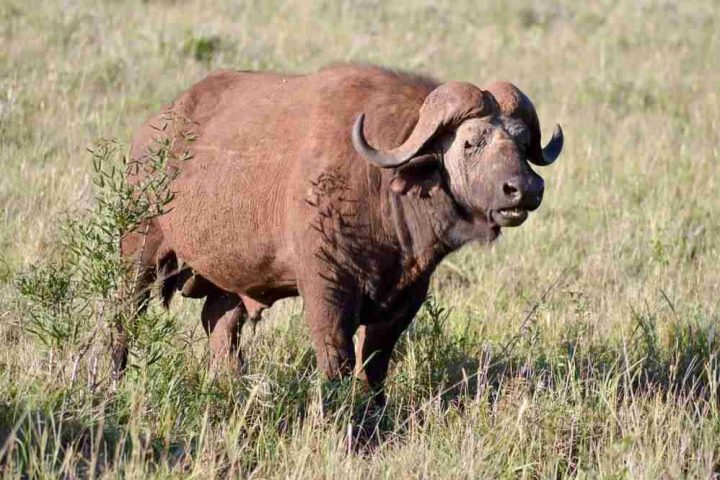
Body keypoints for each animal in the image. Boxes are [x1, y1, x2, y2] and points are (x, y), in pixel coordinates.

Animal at [117, 64, 564, 401]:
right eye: (471, 143)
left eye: (522, 141)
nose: (525, 188)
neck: (379, 188)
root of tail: (152, 133)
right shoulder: (325, 289)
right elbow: (337, 360)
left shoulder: (405, 299)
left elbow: (374, 364)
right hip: (138, 256)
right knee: (122, 319)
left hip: (228, 282)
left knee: (220, 326)